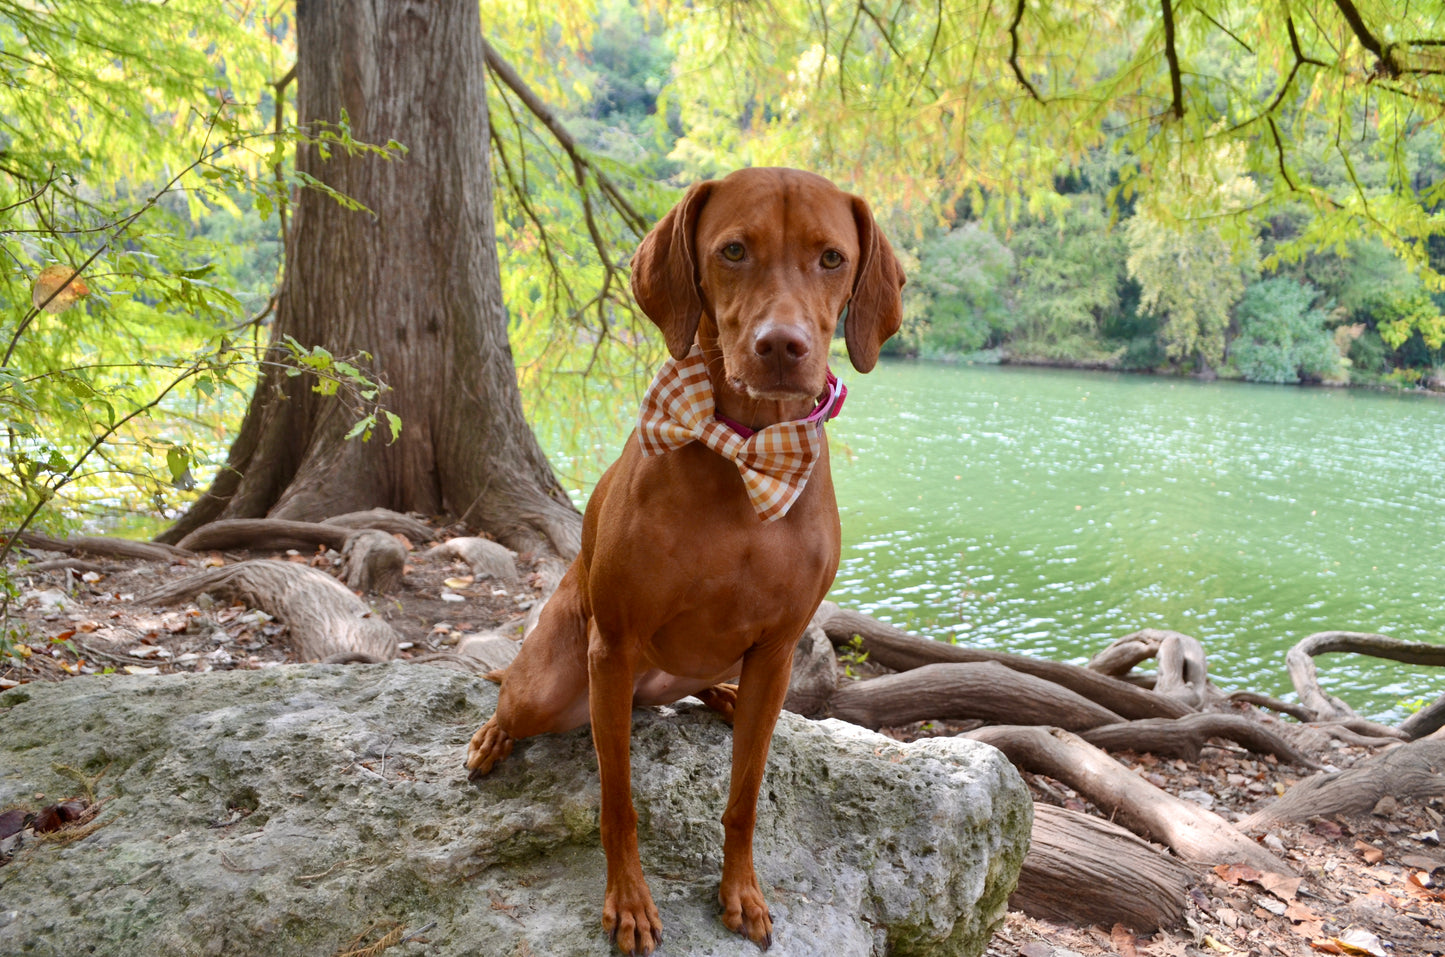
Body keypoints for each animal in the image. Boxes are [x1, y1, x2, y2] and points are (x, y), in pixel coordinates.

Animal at [468, 168, 901, 954]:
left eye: (831, 258)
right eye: (732, 250)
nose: (781, 345)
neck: (745, 449)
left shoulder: (778, 649)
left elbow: (744, 796)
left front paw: (742, 891)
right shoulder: (612, 645)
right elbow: (619, 800)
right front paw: (629, 902)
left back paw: (722, 698)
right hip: (553, 683)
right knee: (514, 697)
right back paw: (492, 735)